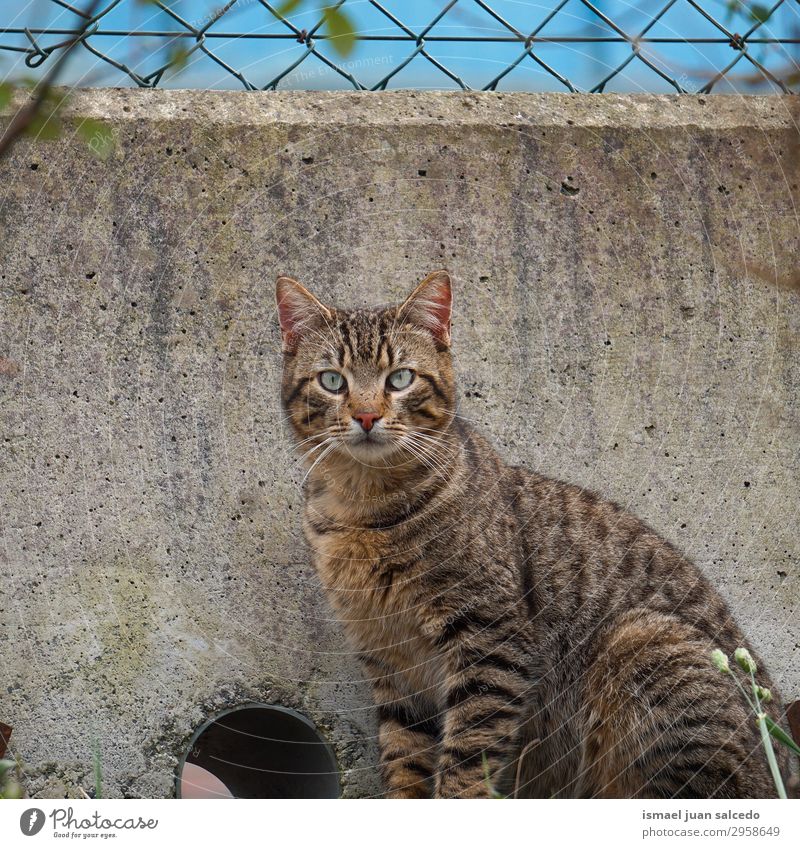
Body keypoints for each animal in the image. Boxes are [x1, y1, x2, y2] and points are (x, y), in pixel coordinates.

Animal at [278, 270, 792, 796]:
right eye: (333, 380)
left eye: (400, 378)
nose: (365, 416)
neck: (363, 505)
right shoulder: (389, 661)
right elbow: (405, 758)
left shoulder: (490, 638)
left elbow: (466, 759)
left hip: (644, 643)